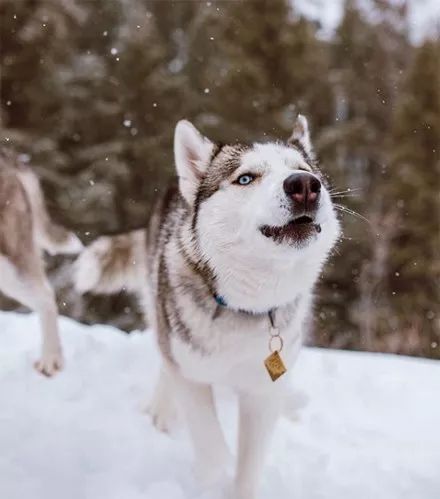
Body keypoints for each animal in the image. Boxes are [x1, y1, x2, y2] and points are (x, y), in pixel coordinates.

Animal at [75, 118, 340, 499]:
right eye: (246, 178)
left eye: (304, 170)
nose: (304, 186)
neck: (246, 305)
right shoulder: (191, 376)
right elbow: (210, 444)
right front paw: (214, 477)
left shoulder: (262, 392)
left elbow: (249, 465)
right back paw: (159, 411)